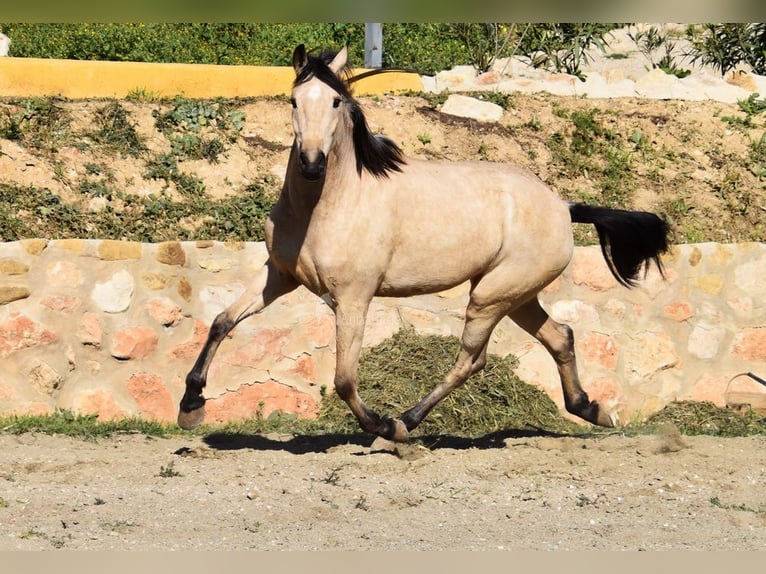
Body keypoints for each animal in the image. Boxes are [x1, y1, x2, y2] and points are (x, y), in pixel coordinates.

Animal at [177, 45, 668, 444]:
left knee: (472, 360)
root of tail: (562, 206)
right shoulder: (279, 276)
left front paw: (381, 425)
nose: (312, 164)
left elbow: (344, 379)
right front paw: (190, 407)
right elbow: (222, 322)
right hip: (516, 295)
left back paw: (407, 421)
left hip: (491, 297)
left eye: (335, 101)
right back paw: (592, 409)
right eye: (294, 101)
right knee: (561, 336)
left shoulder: (353, 298)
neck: (327, 206)